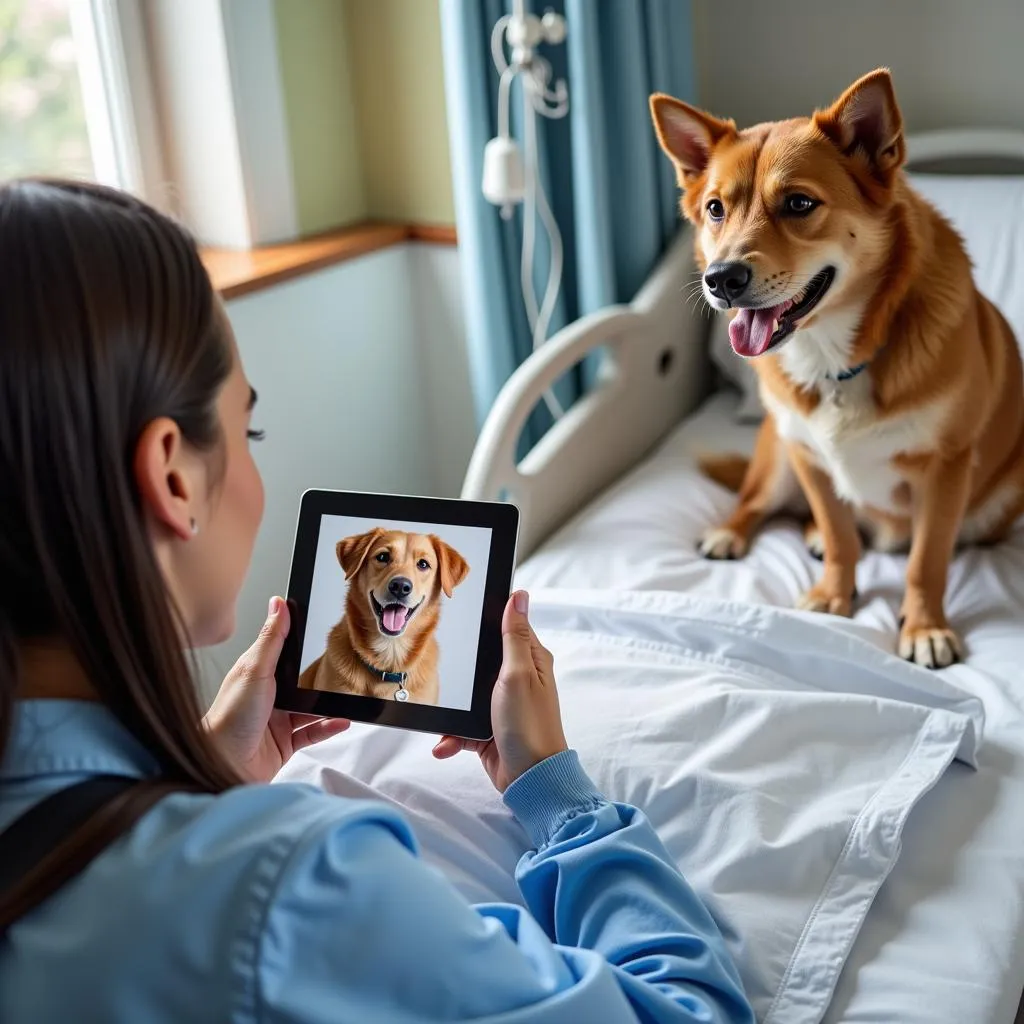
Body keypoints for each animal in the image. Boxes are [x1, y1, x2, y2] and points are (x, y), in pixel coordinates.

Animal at [647, 68, 1024, 667]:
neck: (833, 356)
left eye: (799, 203)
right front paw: (833, 592)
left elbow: (926, 561)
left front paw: (924, 627)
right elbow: (842, 533)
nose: (721, 279)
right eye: (715, 209)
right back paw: (739, 532)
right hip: (777, 454)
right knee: (755, 500)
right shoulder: (808, 455)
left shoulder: (946, 467)